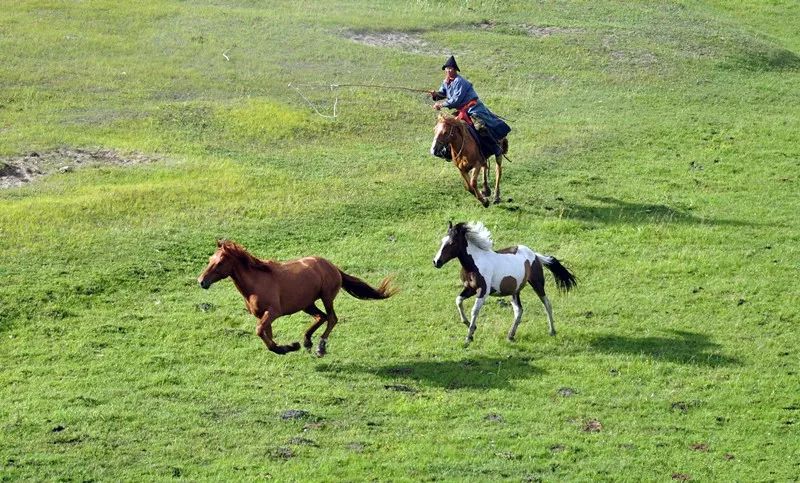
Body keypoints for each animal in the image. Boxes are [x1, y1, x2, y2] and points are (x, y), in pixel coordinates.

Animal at [197, 241, 396, 358]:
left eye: (220, 262)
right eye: (210, 259)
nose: (201, 281)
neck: (256, 281)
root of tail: (332, 266)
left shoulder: (273, 312)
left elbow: (260, 331)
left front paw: (287, 347)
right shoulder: (264, 315)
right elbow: (267, 336)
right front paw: (288, 347)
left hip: (326, 297)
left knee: (331, 318)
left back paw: (320, 348)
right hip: (307, 304)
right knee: (321, 317)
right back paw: (307, 341)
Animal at [432, 221, 576, 346]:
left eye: (451, 242)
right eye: (442, 241)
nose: (436, 262)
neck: (474, 264)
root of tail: (535, 255)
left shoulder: (483, 291)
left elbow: (474, 310)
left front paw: (469, 336)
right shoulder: (469, 288)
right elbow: (458, 300)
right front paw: (468, 324)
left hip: (537, 284)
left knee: (547, 304)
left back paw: (552, 331)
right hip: (515, 291)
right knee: (519, 310)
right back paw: (510, 335)